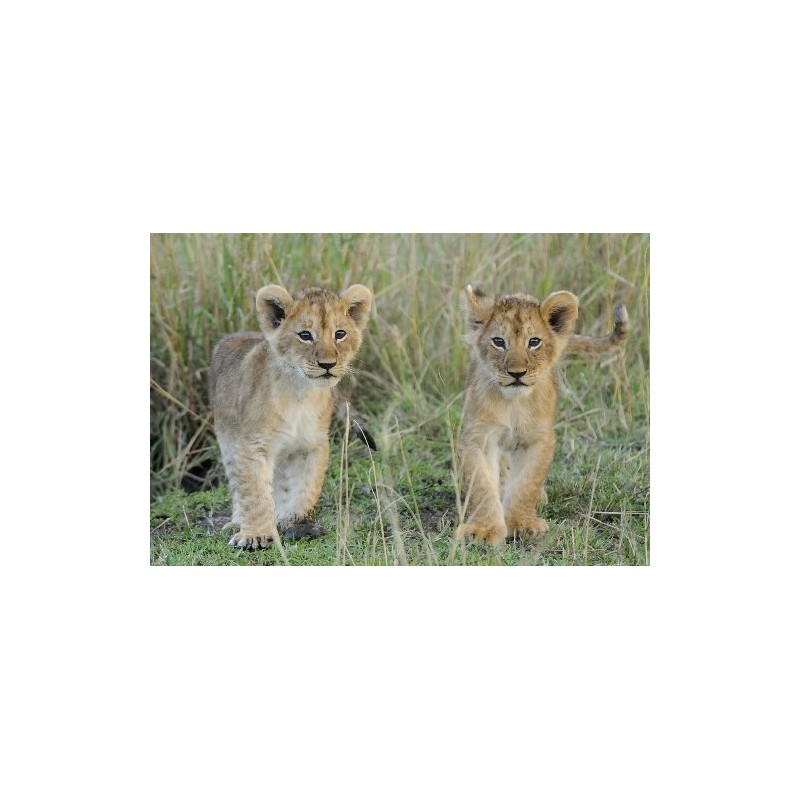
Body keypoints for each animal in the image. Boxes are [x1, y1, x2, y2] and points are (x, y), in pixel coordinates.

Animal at [209, 284, 374, 549]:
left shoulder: (312, 444)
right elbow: (254, 492)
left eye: (340, 334)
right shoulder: (253, 445)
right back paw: (237, 521)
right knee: (237, 483)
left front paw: (297, 521)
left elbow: (306, 487)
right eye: (305, 335)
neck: (300, 394)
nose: (327, 364)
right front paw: (256, 535)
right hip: (227, 439)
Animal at [455, 286, 628, 545]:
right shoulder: (479, 437)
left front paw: (522, 524)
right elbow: (482, 487)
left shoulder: (539, 438)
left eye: (534, 342)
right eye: (499, 341)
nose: (517, 373)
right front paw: (484, 530)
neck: (513, 403)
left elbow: (527, 483)